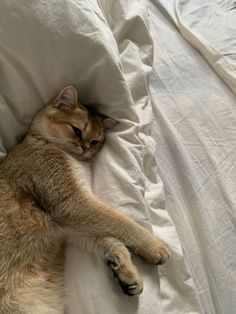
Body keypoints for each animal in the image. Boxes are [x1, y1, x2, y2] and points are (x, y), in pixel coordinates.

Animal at [0, 86, 170, 314]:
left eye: (95, 142)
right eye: (77, 131)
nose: (85, 148)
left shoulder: (69, 226)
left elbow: (108, 237)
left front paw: (124, 269)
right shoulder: (72, 203)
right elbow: (118, 221)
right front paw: (153, 246)